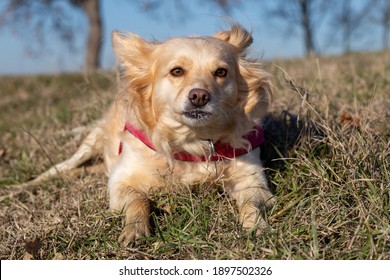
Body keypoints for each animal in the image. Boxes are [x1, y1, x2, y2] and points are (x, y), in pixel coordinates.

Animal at [19, 25, 274, 246]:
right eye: (177, 71)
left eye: (221, 72)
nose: (199, 96)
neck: (192, 140)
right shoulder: (121, 182)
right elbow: (139, 200)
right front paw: (135, 230)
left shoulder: (253, 181)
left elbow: (251, 204)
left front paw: (256, 227)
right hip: (88, 145)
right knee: (61, 167)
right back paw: (24, 186)